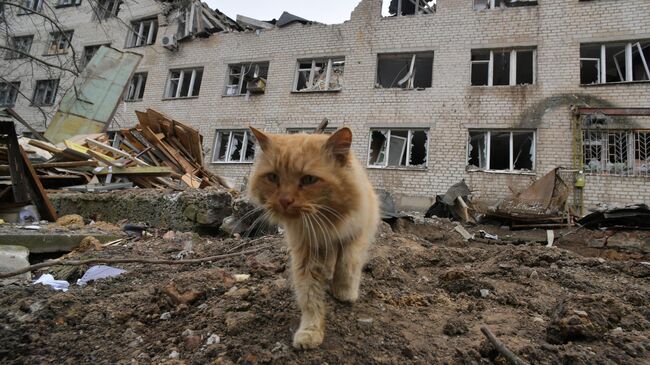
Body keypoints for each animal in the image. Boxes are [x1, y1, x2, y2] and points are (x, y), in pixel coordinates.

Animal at [248, 126, 380, 348]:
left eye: (309, 180)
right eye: (273, 177)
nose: (284, 200)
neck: (325, 222)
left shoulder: (357, 235)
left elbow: (347, 265)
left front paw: (344, 292)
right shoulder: (306, 253)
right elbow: (309, 296)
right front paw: (311, 331)